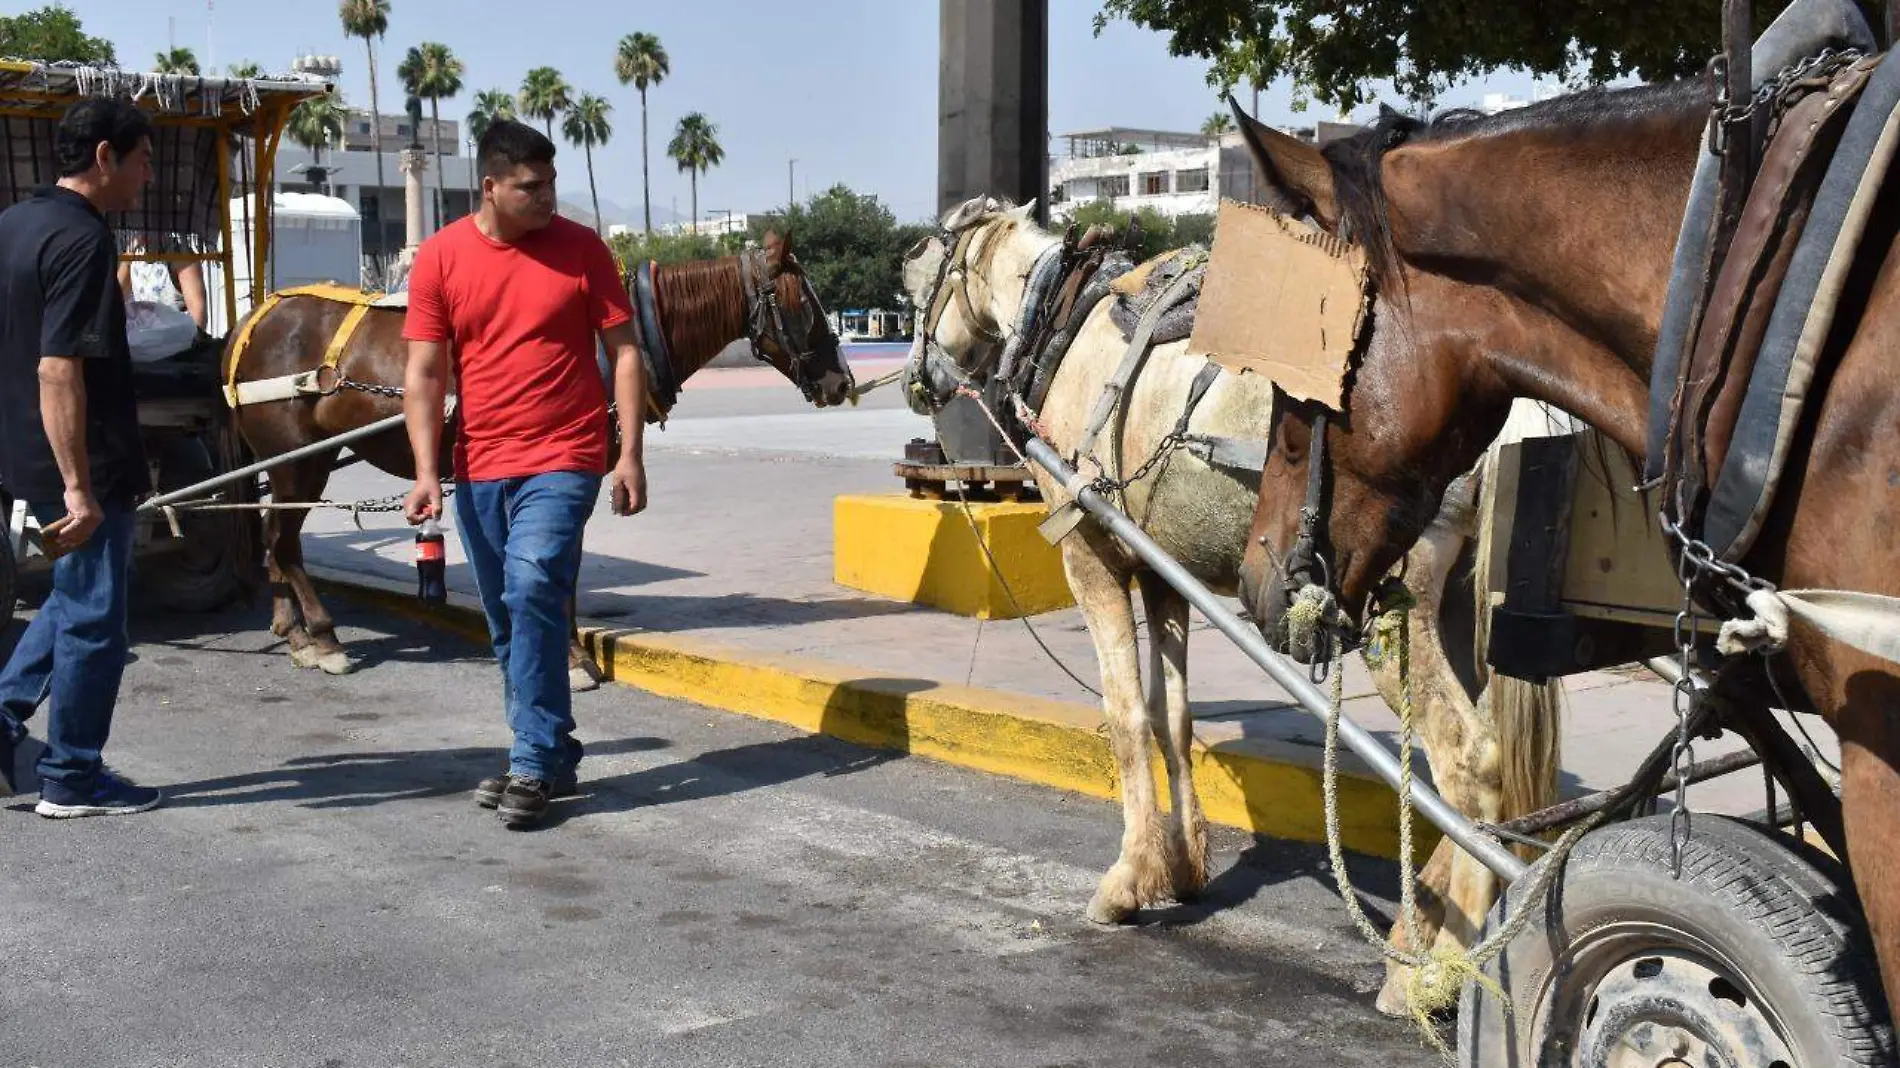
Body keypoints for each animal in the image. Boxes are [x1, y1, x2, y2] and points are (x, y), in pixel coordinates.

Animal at [218, 232, 851, 680]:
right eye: (805, 302)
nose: (841, 381)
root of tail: (253, 320)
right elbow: (556, 570)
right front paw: (569, 656)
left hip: (295, 463)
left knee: (273, 536)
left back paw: (291, 629)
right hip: (296, 460)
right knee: (283, 541)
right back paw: (322, 637)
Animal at [900, 195, 1558, 1010]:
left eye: (917, 283)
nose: (917, 379)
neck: (1066, 323)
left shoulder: (1092, 552)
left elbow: (1125, 717)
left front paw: (1127, 880)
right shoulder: (1163, 573)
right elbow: (1172, 718)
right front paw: (1182, 868)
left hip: (1389, 605)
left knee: (1469, 761)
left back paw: (1432, 973)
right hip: (1466, 607)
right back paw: (1419, 930)